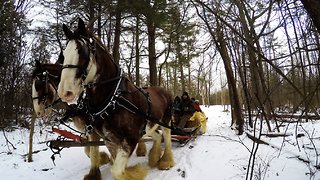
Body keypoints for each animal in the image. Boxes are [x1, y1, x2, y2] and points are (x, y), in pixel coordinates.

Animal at [57, 19, 175, 179]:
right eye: (63, 55)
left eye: (82, 51)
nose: (65, 92)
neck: (112, 99)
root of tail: (164, 89)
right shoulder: (108, 139)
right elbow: (102, 159)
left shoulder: (130, 139)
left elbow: (117, 171)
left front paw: (135, 172)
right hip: (150, 125)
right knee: (156, 136)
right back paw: (154, 158)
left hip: (166, 120)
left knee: (167, 138)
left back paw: (165, 161)